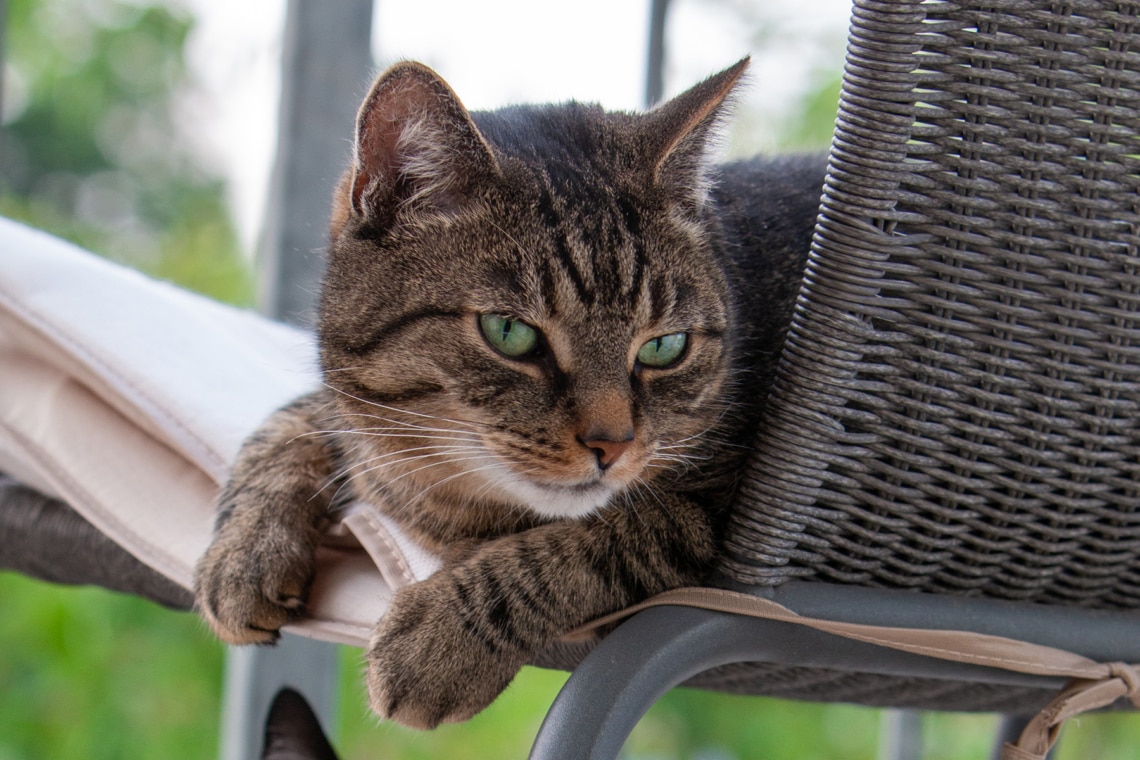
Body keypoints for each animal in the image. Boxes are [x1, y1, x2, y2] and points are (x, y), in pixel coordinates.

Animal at [191, 56, 825, 729]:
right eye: (510, 333)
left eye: (664, 347)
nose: (613, 445)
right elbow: (290, 422)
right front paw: (243, 554)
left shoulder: (723, 515)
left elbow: (597, 541)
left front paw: (439, 640)